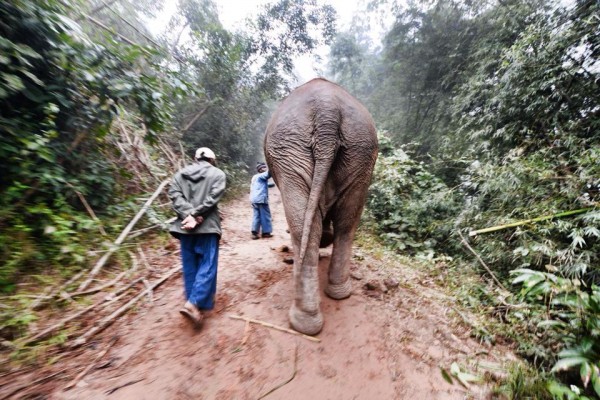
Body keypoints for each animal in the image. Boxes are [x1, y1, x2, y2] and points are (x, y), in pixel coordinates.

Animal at [264, 77, 378, 334]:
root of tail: (328, 109)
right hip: (358, 151)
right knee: (347, 222)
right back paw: (339, 293)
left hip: (290, 151)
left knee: (303, 227)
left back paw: (302, 322)